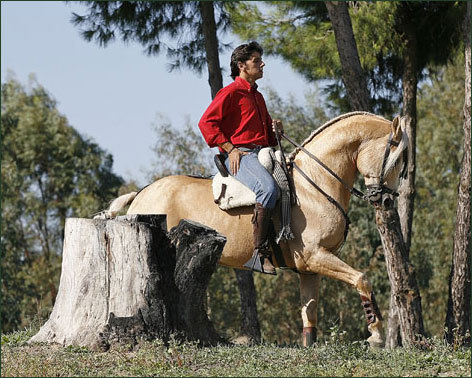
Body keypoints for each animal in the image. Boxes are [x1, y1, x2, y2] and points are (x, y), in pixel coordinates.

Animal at [105, 110, 408, 346]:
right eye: (396, 158)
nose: (386, 200)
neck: (314, 185)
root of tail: (141, 194)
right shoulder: (316, 257)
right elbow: (362, 278)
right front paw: (376, 334)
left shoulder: (309, 268)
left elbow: (309, 313)